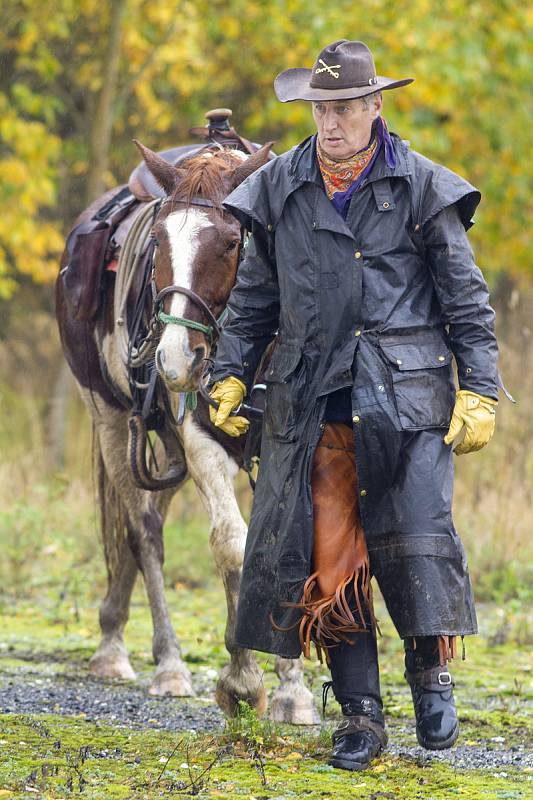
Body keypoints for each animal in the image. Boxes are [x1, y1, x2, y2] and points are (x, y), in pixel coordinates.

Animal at [56, 138, 318, 724]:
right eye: (157, 240)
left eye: (231, 241)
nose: (175, 359)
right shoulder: (200, 441)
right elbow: (230, 546)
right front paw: (243, 681)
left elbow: (280, 553)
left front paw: (293, 690)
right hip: (109, 417)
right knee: (143, 533)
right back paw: (161, 661)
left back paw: (115, 629)